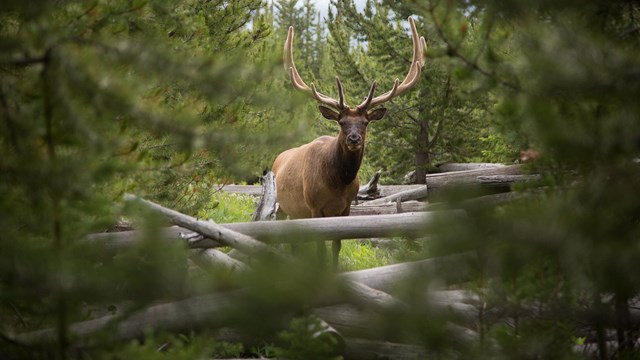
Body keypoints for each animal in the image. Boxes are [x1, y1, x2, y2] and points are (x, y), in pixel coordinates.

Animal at [270, 17, 424, 270]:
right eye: (341, 122)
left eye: (365, 122)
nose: (354, 138)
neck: (337, 183)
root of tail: (277, 158)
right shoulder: (314, 207)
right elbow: (321, 249)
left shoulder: (346, 208)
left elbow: (337, 245)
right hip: (282, 204)